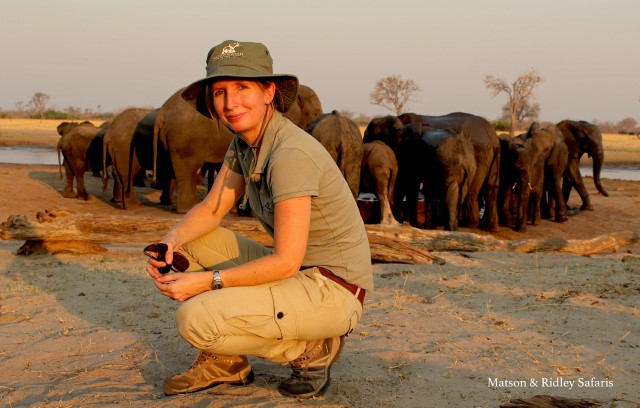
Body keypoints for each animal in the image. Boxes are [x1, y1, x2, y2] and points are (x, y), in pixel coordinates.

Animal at [364, 111, 500, 231]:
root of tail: (493, 137)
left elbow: (408, 185)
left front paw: (410, 222)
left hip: (477, 154)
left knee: (467, 192)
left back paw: (465, 225)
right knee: (490, 188)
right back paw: (487, 227)